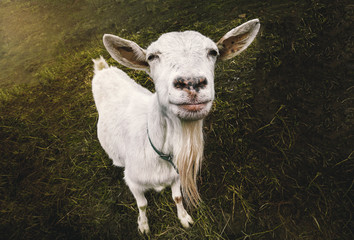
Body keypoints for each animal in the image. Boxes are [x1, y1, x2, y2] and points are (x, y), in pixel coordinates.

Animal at [91, 19, 260, 233]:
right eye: (151, 56)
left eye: (213, 52)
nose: (191, 83)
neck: (157, 149)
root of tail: (103, 69)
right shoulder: (132, 181)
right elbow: (142, 204)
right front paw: (143, 226)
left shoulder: (176, 174)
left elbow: (178, 197)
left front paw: (184, 218)